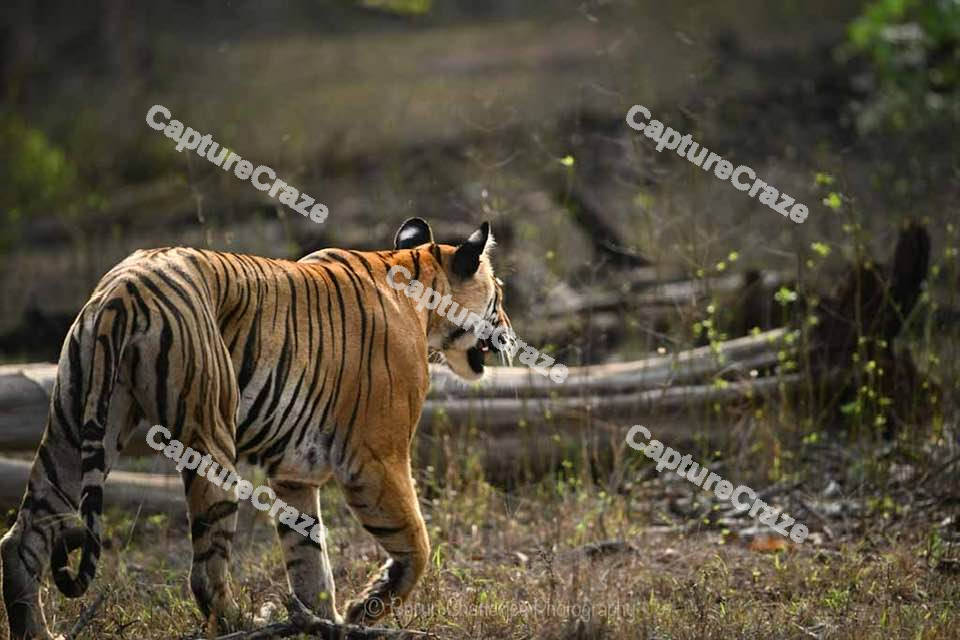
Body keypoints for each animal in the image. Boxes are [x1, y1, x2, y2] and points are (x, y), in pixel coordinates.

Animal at [0, 217, 514, 639]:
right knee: (205, 573)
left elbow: (309, 561)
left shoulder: (296, 473)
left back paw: (37, 633)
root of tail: (123, 290)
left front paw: (324, 622)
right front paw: (363, 609)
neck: (419, 287)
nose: (510, 332)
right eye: (500, 295)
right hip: (210, 437)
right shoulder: (376, 459)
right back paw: (244, 624)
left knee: (22, 536)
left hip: (74, 428)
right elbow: (416, 543)